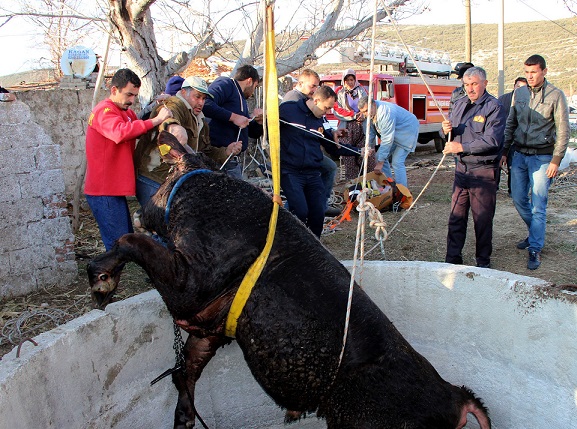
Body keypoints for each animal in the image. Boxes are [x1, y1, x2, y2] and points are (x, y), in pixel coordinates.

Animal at [86, 132, 490, 426]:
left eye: (167, 176)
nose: (140, 209)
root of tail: (457, 396)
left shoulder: (191, 288)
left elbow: (131, 241)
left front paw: (101, 283)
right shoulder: (210, 326)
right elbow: (186, 370)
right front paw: (184, 419)